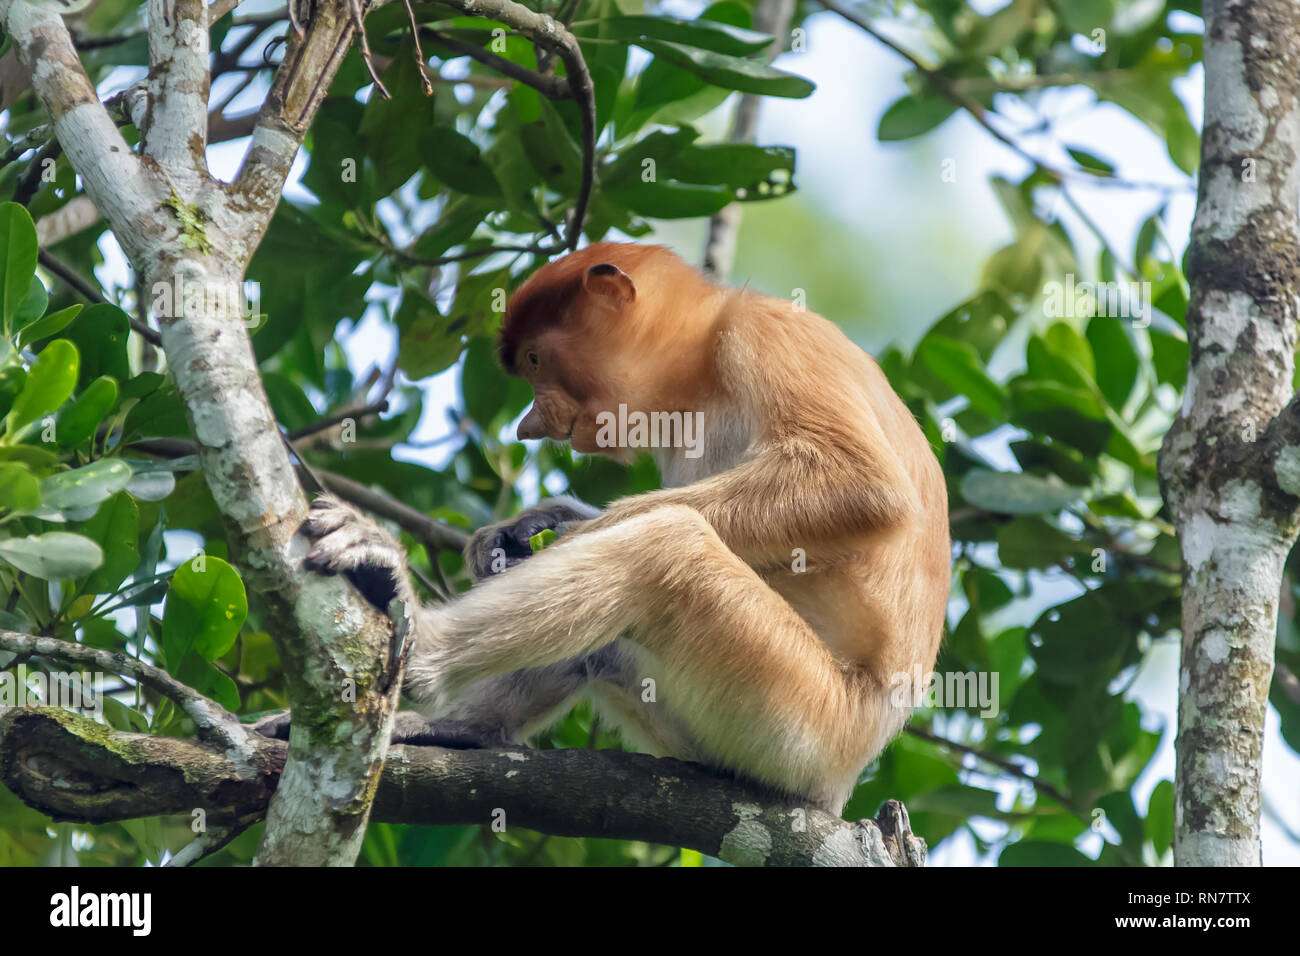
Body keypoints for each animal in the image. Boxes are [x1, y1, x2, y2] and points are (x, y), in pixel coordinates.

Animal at [300, 242, 951, 814]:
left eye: (535, 360)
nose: (529, 426)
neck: (703, 369)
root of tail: (844, 780)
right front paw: (524, 528)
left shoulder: (768, 332)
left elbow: (860, 484)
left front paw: (555, 538)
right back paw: (462, 728)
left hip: (802, 724)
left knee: (669, 548)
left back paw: (411, 625)